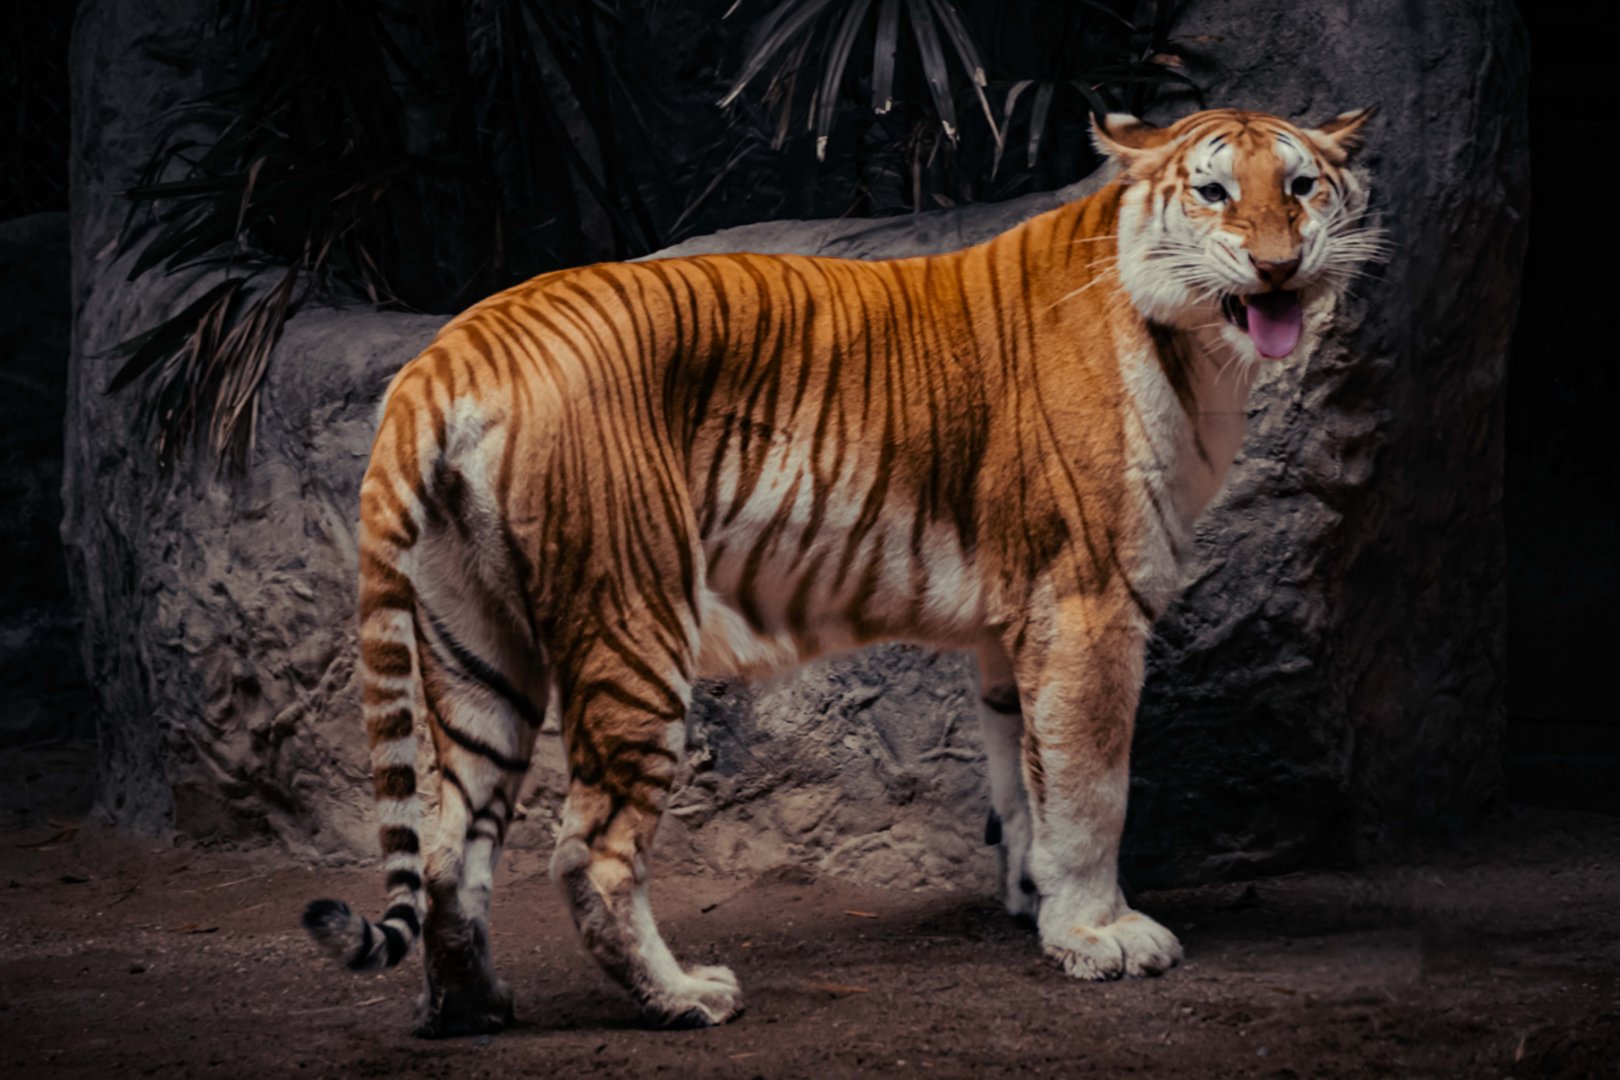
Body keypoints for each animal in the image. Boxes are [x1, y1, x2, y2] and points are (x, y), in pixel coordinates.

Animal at [302, 105, 1379, 1037]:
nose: (1279, 265)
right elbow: (1088, 786)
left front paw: (1035, 904)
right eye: (1212, 191)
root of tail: (454, 345)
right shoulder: (1089, 601)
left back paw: (473, 1009)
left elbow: (1023, 775)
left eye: (1301, 186)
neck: (1201, 355)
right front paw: (1101, 936)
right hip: (635, 621)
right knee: (590, 851)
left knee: (449, 844)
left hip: (477, 641)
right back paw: (685, 997)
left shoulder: (1015, 625)